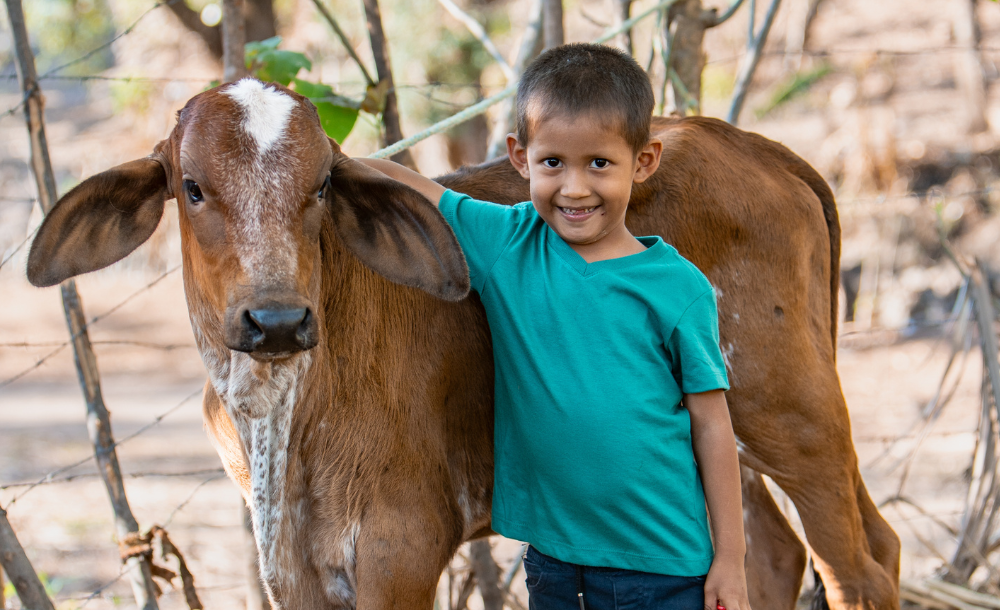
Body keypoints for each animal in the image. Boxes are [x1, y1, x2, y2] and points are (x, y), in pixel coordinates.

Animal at [25, 78, 899, 610]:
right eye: (193, 187)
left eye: (321, 185)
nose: (275, 320)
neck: (284, 420)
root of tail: (753, 144)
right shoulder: (292, 562)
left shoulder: (400, 548)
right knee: (769, 555)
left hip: (792, 415)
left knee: (860, 563)